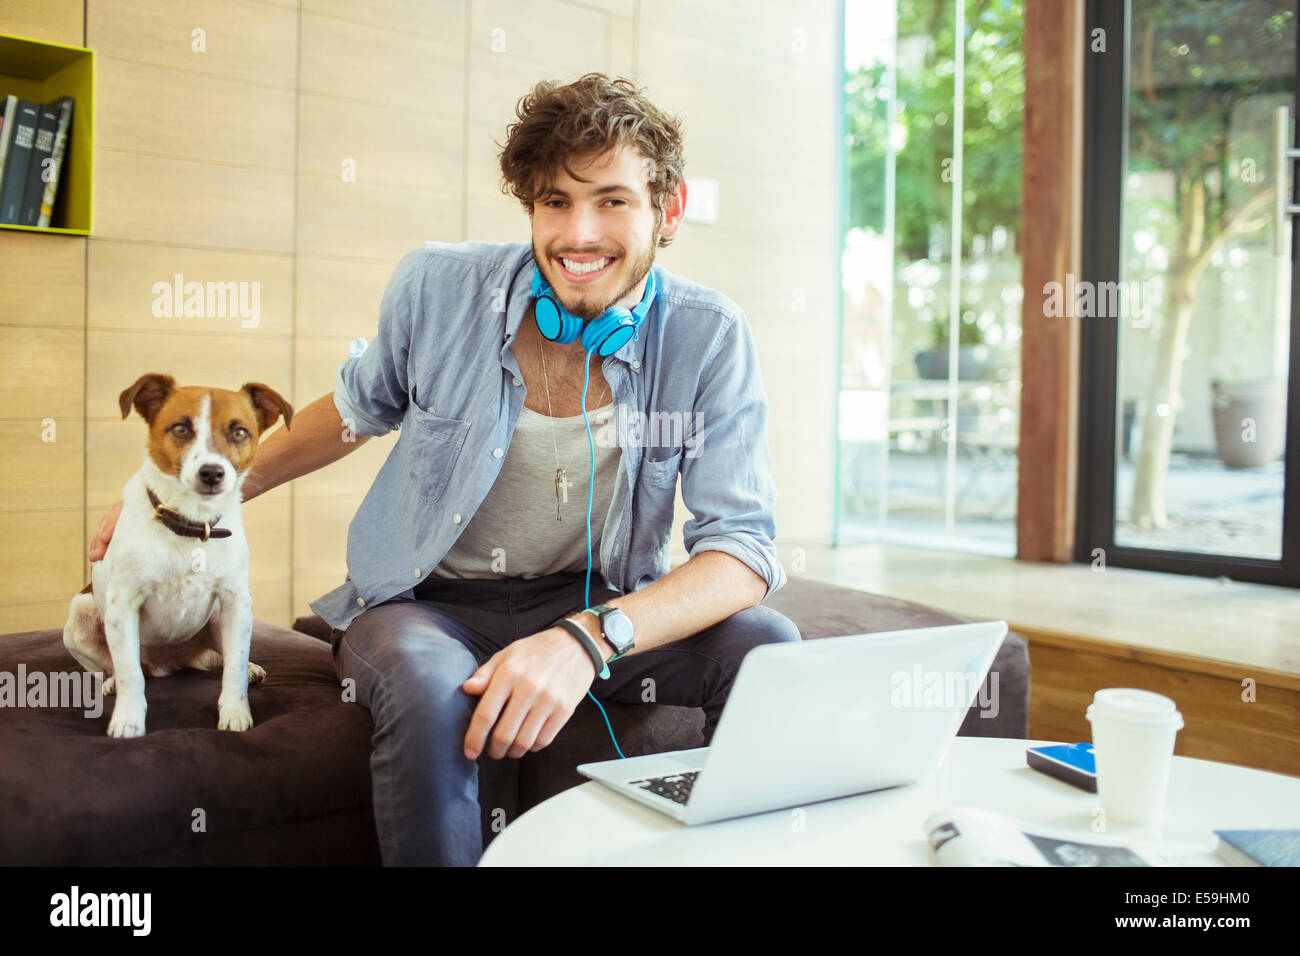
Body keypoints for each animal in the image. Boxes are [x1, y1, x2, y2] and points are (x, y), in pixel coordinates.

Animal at [62, 374, 292, 738]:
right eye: (181, 428)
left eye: (239, 432)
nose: (212, 473)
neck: (191, 526)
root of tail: (170, 662)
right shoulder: (123, 605)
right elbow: (130, 674)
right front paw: (128, 720)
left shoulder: (236, 600)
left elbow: (235, 670)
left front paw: (235, 713)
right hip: (80, 616)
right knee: (114, 667)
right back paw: (110, 682)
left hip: (219, 618)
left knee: (227, 658)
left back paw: (248, 667)